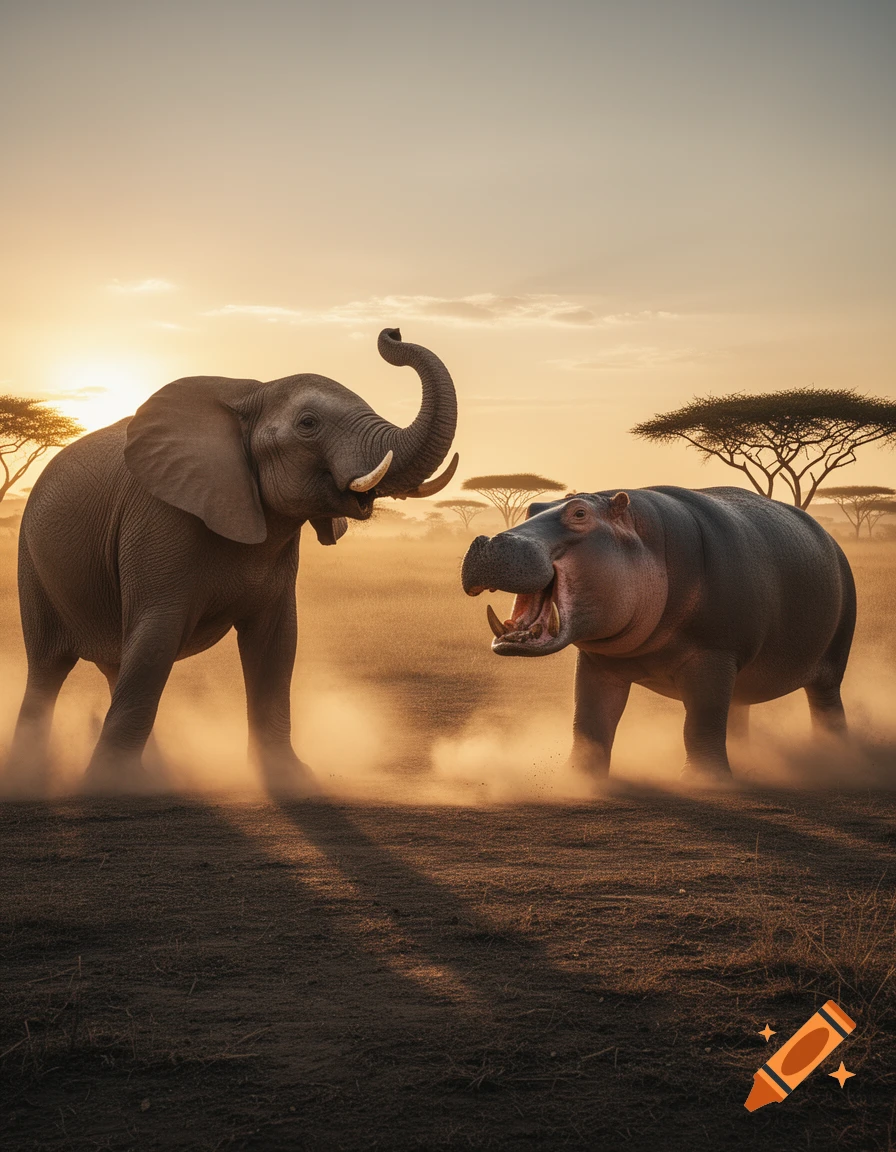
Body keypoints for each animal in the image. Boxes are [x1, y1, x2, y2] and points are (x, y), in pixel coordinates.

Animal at [6, 328, 457, 793]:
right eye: (308, 424)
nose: (392, 333)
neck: (251, 393)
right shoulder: (157, 522)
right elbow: (155, 642)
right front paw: (108, 786)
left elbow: (276, 645)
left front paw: (290, 778)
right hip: (31, 563)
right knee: (49, 669)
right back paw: (31, 775)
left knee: (117, 665)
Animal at [461, 486, 855, 780]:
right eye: (534, 507)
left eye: (579, 514)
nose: (490, 541)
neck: (644, 539)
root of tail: (831, 540)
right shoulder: (597, 662)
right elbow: (589, 722)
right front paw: (577, 779)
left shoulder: (713, 657)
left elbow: (701, 721)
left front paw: (704, 782)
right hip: (741, 673)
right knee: (737, 709)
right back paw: (747, 759)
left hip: (831, 664)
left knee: (825, 706)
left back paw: (833, 757)